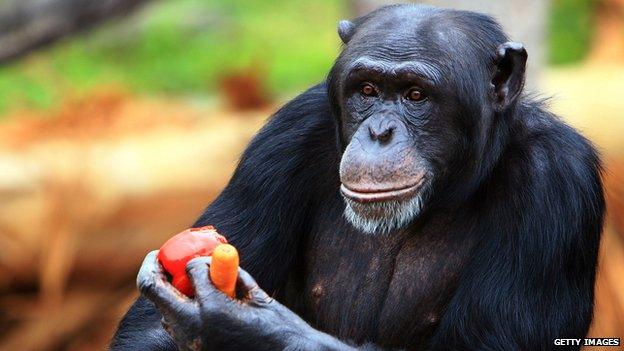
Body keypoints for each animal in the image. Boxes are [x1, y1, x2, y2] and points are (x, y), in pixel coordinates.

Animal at [111, 3, 604, 351]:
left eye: (416, 95)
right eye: (367, 90)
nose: (380, 131)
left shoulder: (557, 181)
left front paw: (236, 327)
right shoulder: (285, 135)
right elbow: (146, 333)